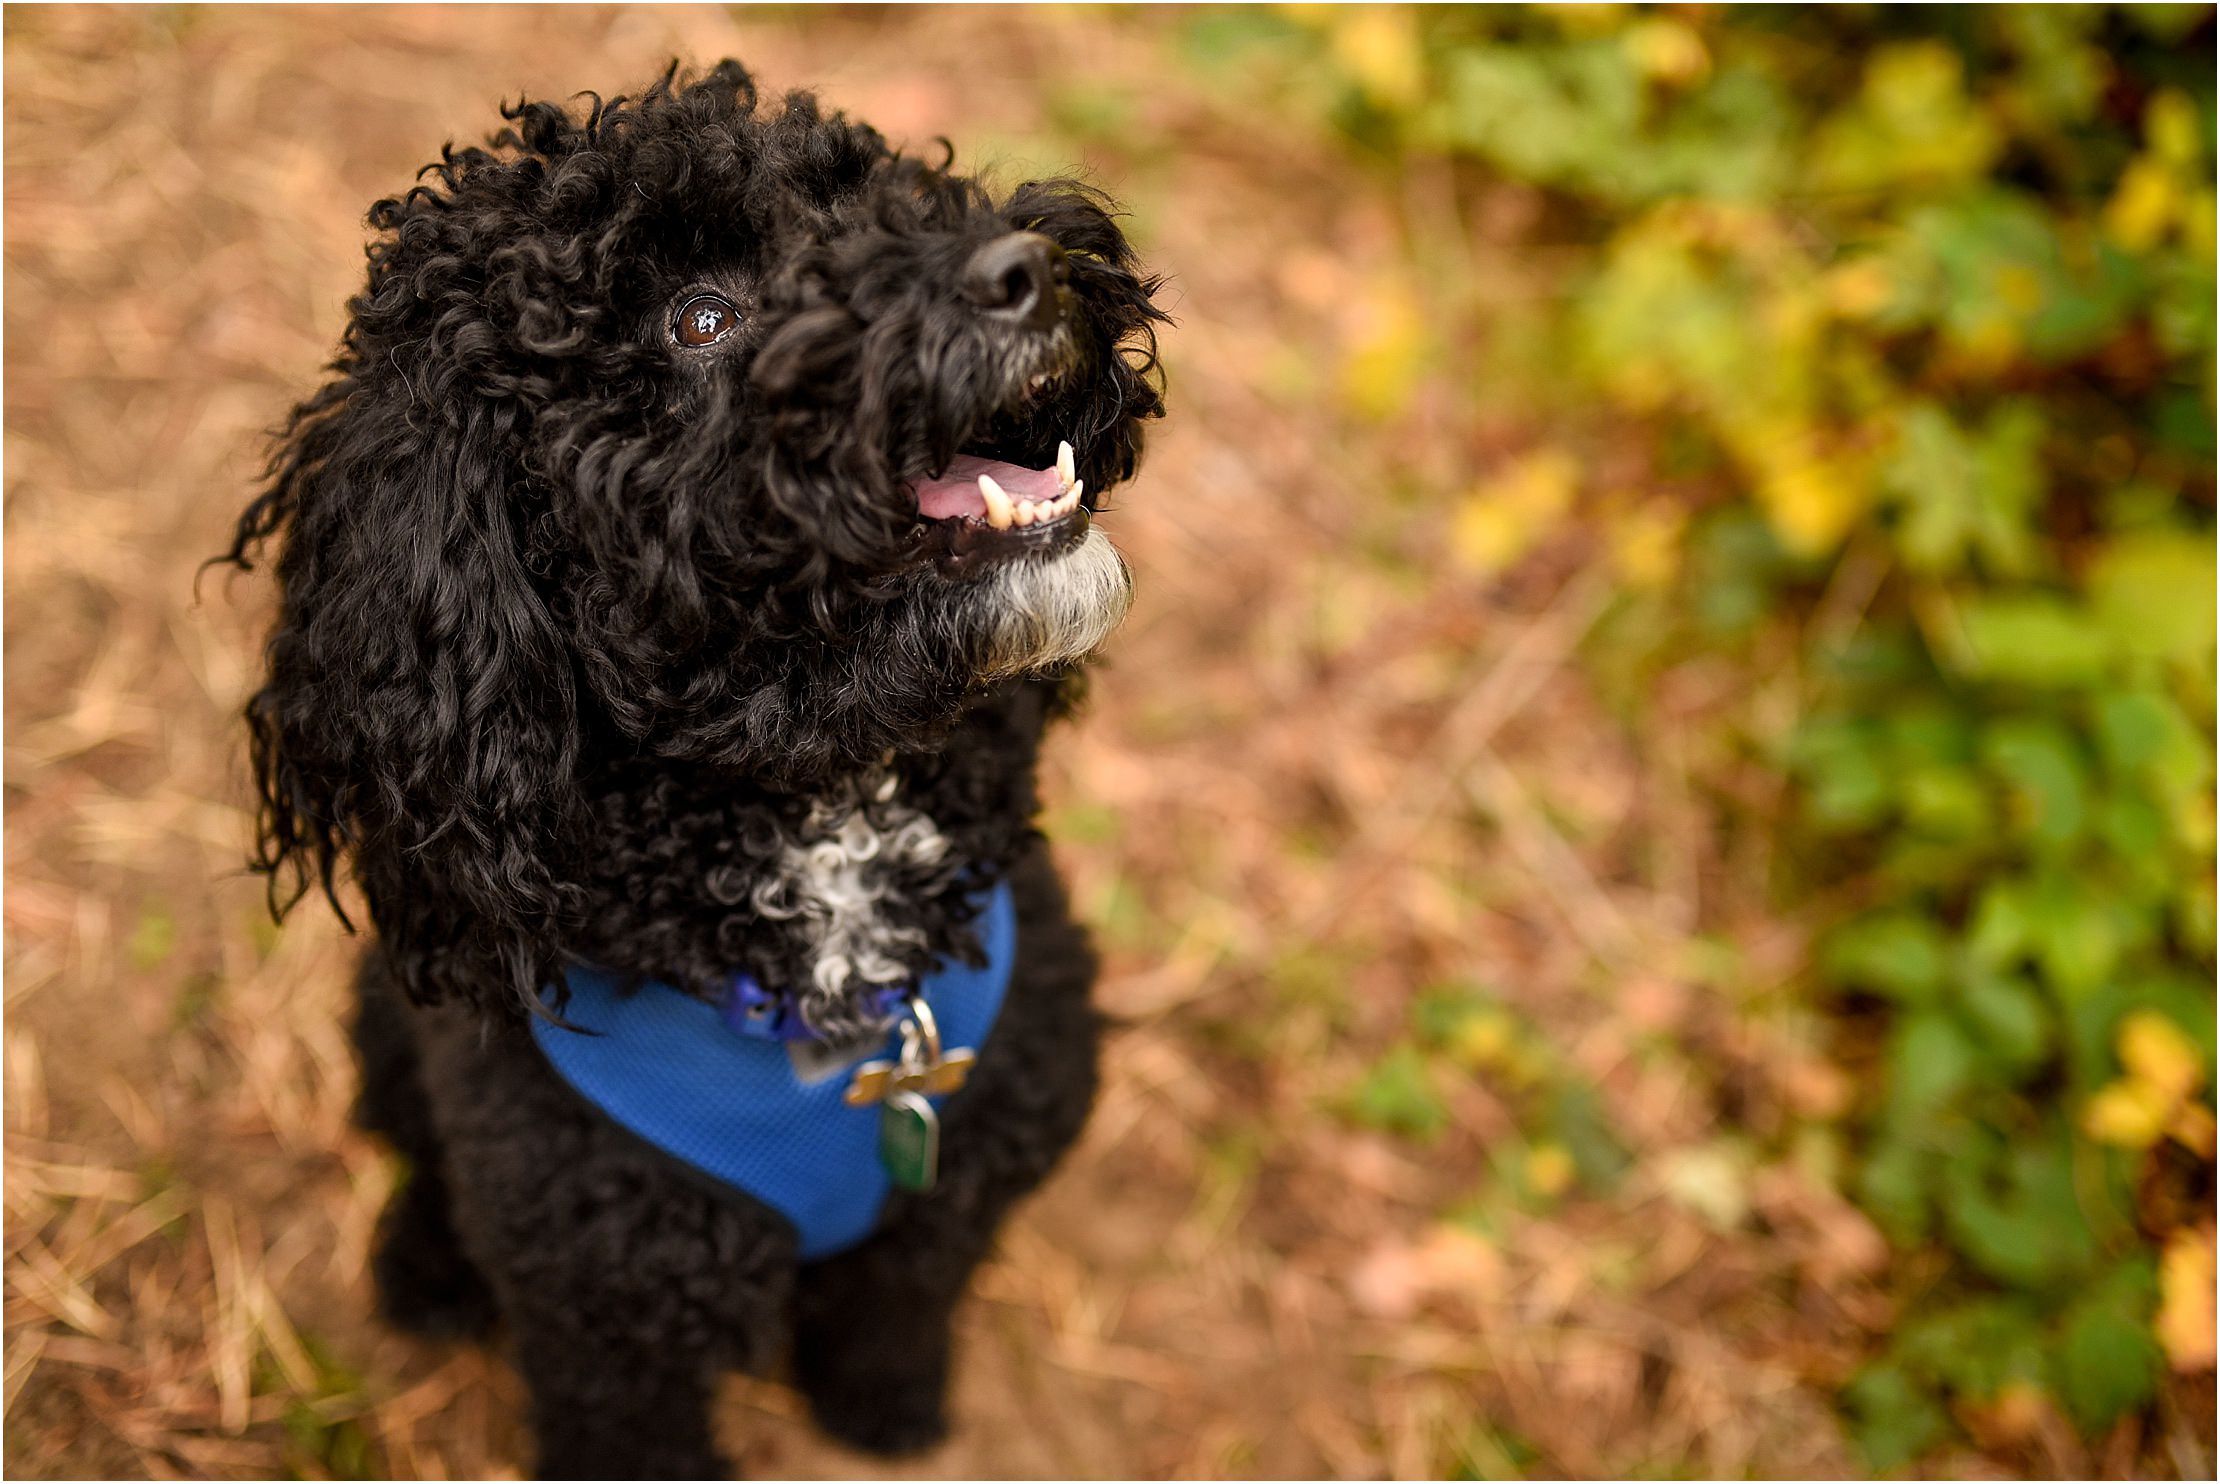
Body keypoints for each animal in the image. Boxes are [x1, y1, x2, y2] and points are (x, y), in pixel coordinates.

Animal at [220, 63, 1163, 1475]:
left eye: (884, 192)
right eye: (700, 316)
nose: (1033, 266)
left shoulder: (965, 1160)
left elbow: (904, 1294)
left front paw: (887, 1407)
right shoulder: (608, 1302)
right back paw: (424, 1271)